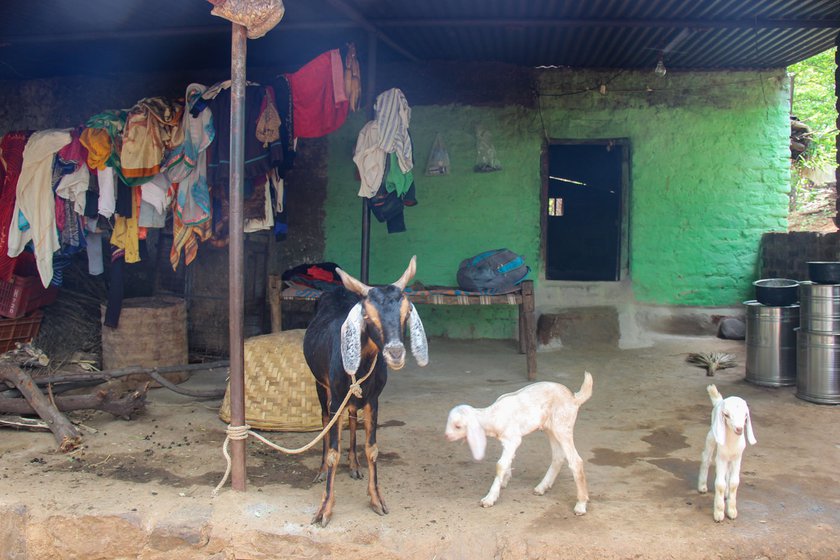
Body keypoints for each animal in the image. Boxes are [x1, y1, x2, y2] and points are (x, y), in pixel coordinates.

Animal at [302, 256, 426, 528]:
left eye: (406, 312)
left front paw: (377, 499)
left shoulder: (373, 399)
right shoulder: (336, 398)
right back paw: (321, 472)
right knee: (325, 422)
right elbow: (333, 451)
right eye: (367, 315)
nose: (395, 353)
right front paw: (325, 509)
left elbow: (372, 448)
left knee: (351, 419)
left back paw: (354, 465)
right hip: (321, 387)